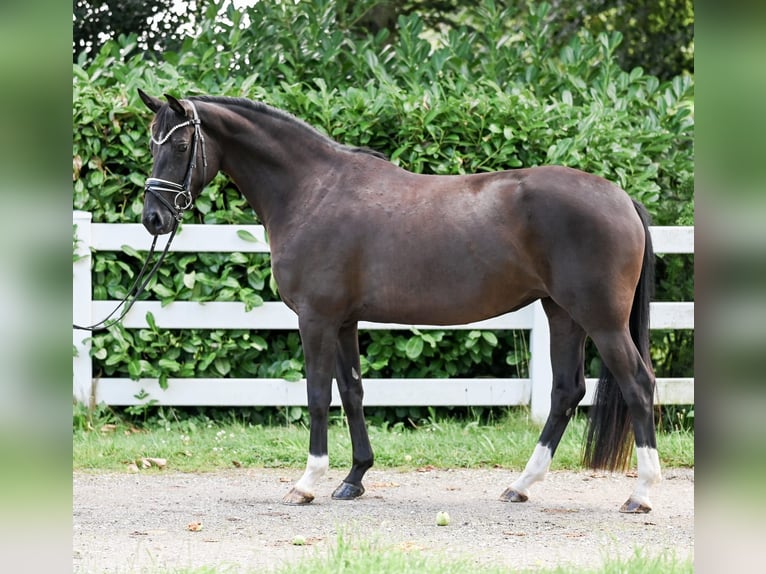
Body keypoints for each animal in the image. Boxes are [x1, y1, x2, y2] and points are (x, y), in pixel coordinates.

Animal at [136, 91, 660, 516]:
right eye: (151, 144)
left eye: (180, 146)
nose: (153, 218)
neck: (313, 191)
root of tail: (621, 198)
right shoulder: (344, 322)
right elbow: (352, 393)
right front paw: (354, 479)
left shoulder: (316, 319)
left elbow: (318, 395)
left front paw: (307, 483)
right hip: (562, 314)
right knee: (566, 392)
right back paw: (521, 486)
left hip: (601, 320)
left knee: (638, 384)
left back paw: (641, 494)